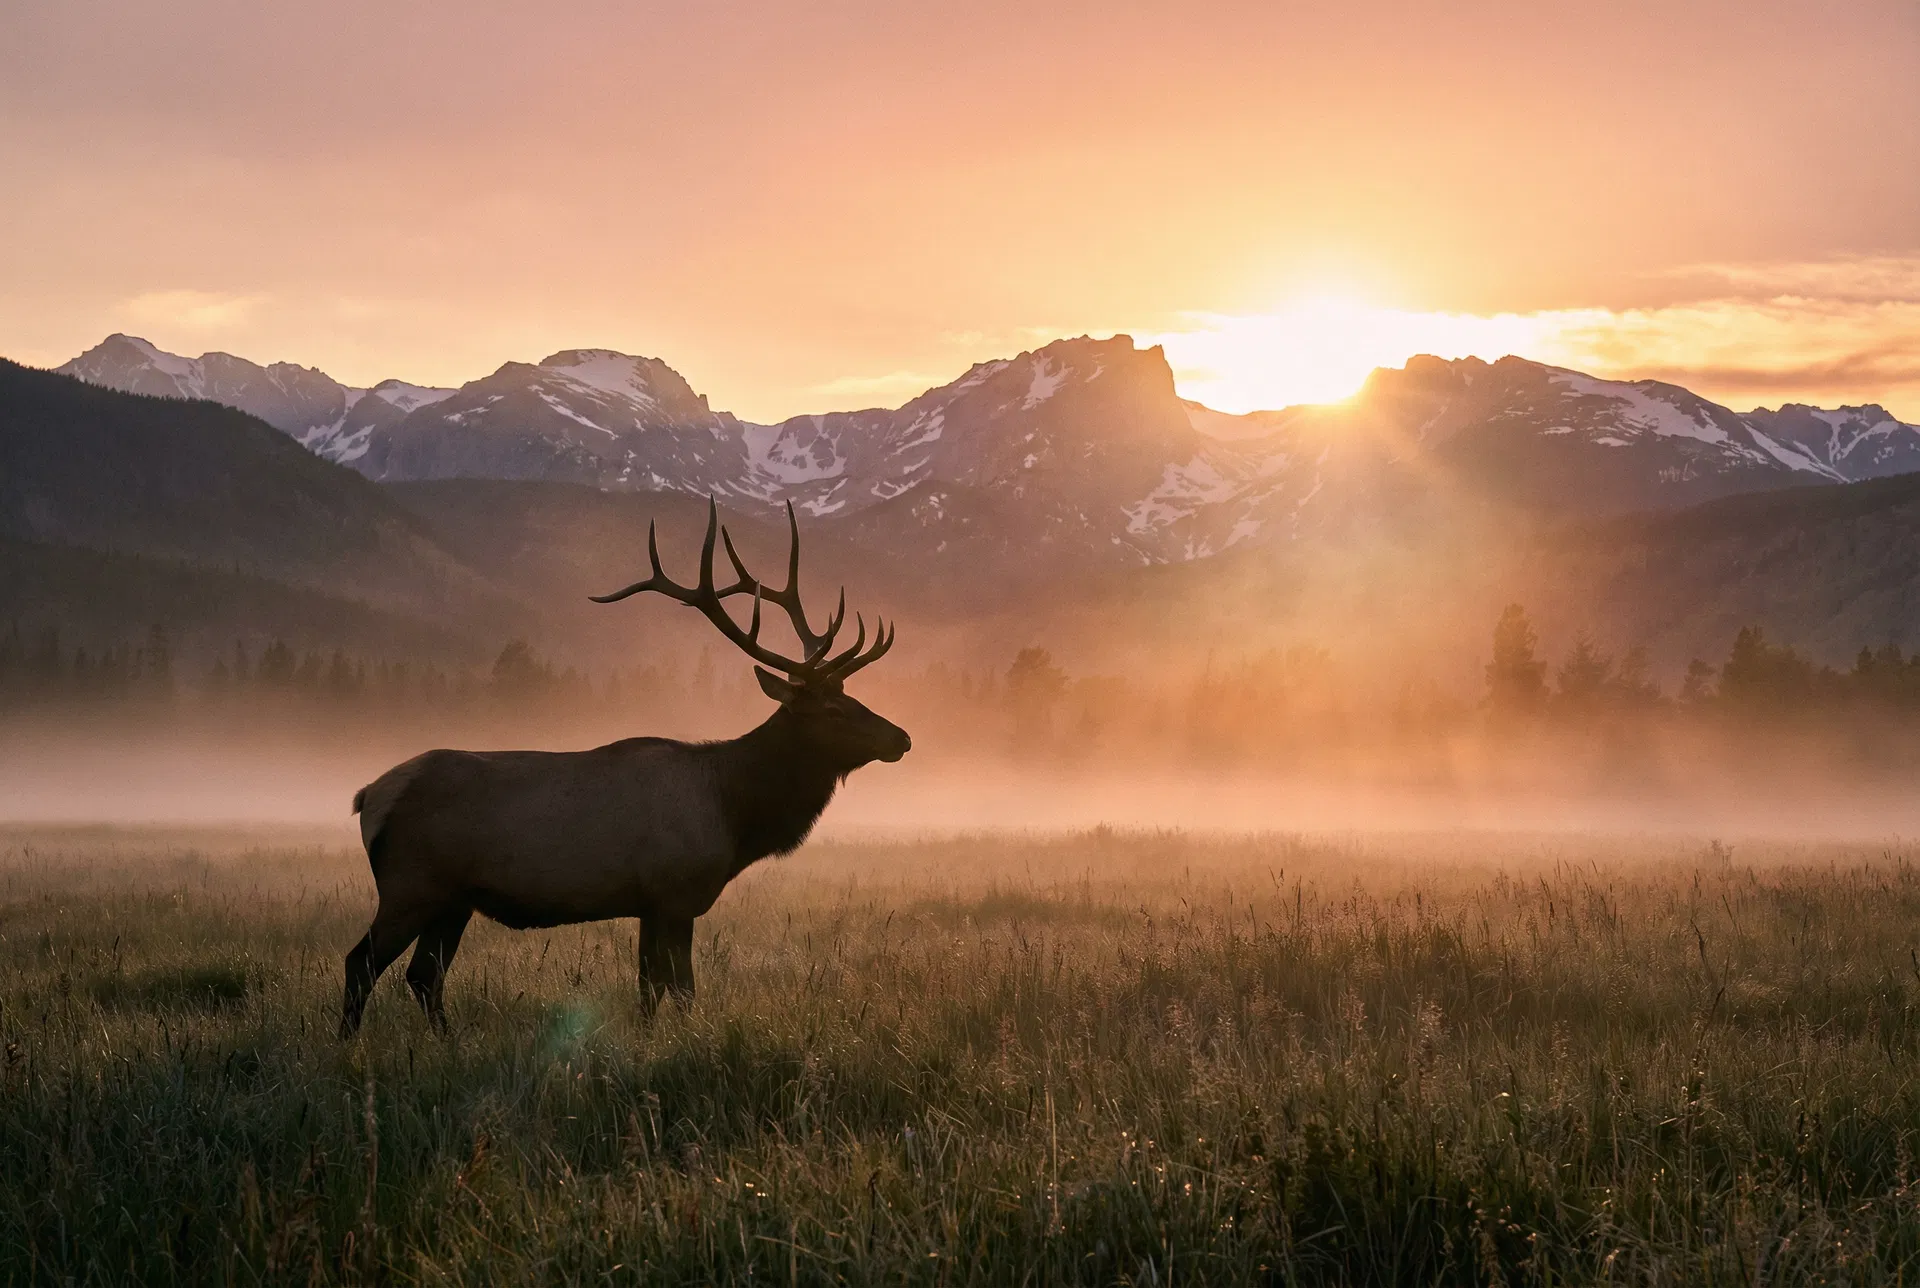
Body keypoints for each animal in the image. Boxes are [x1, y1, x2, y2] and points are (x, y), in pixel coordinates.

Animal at [338, 499, 908, 1037]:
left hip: (453, 900)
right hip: (411, 884)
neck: (734, 811)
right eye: (833, 709)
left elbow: (647, 989)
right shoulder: (676, 893)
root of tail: (369, 797)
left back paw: (449, 1042)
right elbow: (681, 989)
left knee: (423, 975)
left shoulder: (649, 904)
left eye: (852, 697)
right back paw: (349, 1047)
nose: (901, 737)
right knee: (361, 963)